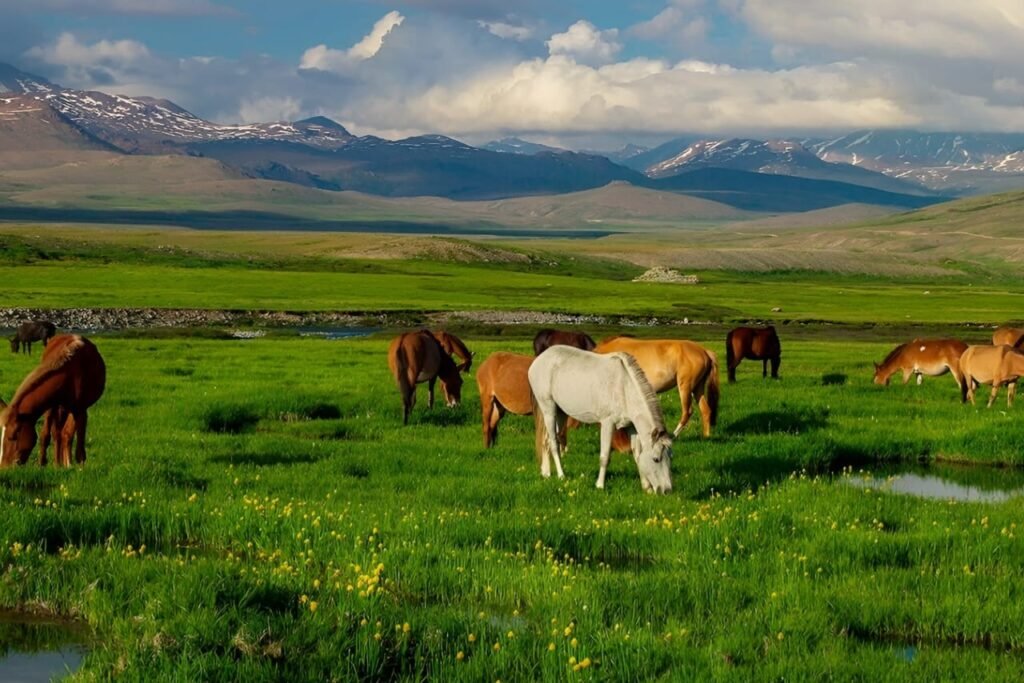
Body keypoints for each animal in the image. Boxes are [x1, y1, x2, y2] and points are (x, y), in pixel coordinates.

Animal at [1, 334, 106, 467]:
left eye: (12, 437)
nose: (4, 466)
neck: (69, 373)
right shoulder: (50, 406)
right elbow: (46, 435)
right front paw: (43, 464)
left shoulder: (81, 410)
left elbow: (78, 444)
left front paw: (79, 467)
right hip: (61, 408)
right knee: (59, 433)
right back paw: (58, 463)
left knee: (66, 434)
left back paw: (66, 463)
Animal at [528, 346, 673, 493]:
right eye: (656, 459)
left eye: (670, 458)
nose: (667, 490)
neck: (623, 387)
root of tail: (539, 359)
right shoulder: (608, 424)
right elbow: (605, 456)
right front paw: (599, 485)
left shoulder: (631, 427)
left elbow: (637, 455)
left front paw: (646, 487)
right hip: (549, 410)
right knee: (553, 443)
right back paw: (561, 475)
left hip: (560, 413)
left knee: (547, 440)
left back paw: (546, 473)